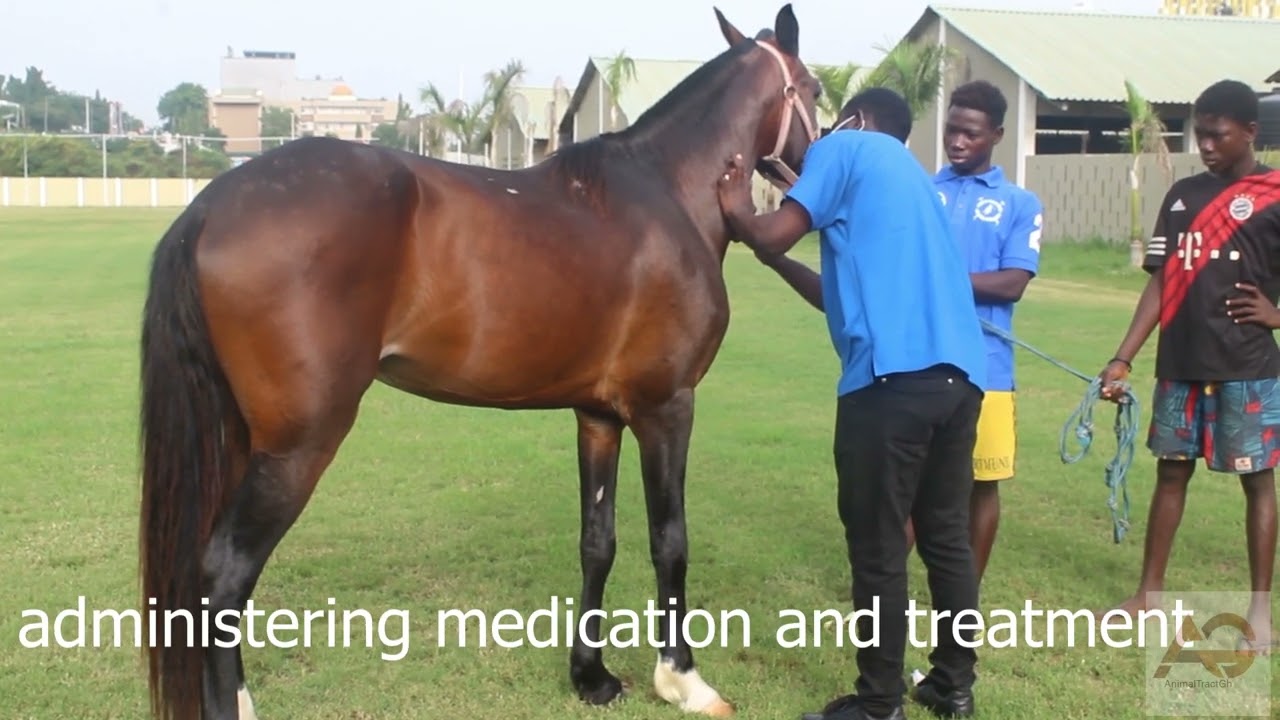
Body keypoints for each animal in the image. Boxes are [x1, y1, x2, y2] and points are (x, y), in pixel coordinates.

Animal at [137, 5, 820, 719]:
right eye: (814, 89)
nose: (824, 151)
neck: (666, 193)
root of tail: (208, 207)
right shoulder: (667, 407)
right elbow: (671, 541)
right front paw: (683, 679)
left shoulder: (598, 416)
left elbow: (597, 541)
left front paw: (591, 677)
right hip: (297, 447)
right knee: (224, 574)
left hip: (243, 438)